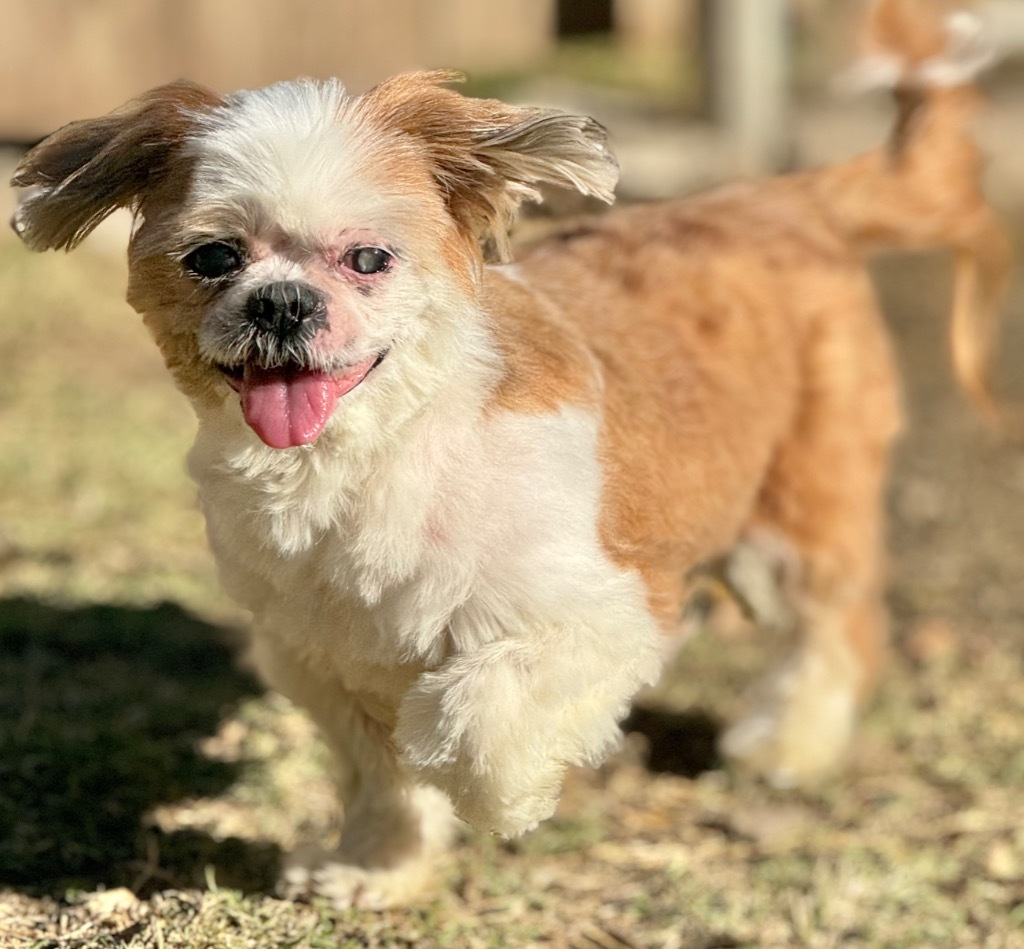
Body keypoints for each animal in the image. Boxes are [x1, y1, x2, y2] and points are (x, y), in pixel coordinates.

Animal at [12, 0, 1011, 909]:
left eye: (368, 258)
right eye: (215, 258)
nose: (284, 302)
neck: (377, 450)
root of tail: (778, 197)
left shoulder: (600, 612)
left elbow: (472, 708)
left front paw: (504, 795)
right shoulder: (326, 658)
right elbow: (382, 772)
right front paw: (377, 864)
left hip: (791, 519)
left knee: (835, 629)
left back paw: (788, 743)